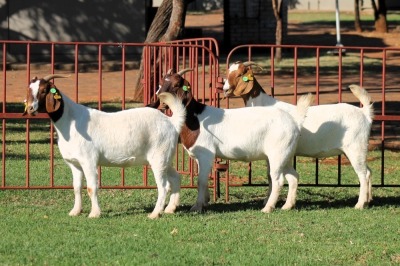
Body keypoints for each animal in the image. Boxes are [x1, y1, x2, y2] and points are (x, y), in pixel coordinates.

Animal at [24, 74, 187, 218]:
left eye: (43, 90)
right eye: (29, 89)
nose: (31, 108)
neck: (70, 121)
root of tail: (172, 122)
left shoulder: (88, 160)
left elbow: (91, 187)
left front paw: (94, 213)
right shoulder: (74, 164)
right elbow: (76, 187)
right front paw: (75, 211)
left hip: (158, 157)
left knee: (164, 186)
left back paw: (155, 213)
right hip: (165, 158)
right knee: (175, 178)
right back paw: (170, 208)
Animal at [152, 69, 314, 213]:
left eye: (176, 85)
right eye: (160, 83)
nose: (160, 100)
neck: (196, 118)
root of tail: (295, 122)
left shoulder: (206, 155)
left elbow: (201, 180)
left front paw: (197, 207)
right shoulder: (199, 156)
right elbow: (202, 178)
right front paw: (205, 201)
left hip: (277, 153)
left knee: (278, 180)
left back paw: (267, 208)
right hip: (285, 154)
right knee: (293, 177)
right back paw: (287, 206)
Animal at [223, 61, 374, 209]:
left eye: (239, 74)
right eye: (228, 72)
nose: (225, 89)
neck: (264, 104)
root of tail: (364, 113)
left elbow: (272, 176)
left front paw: (268, 202)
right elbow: (269, 175)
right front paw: (267, 200)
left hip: (355, 147)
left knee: (363, 174)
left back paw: (360, 204)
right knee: (369, 171)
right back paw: (368, 200)